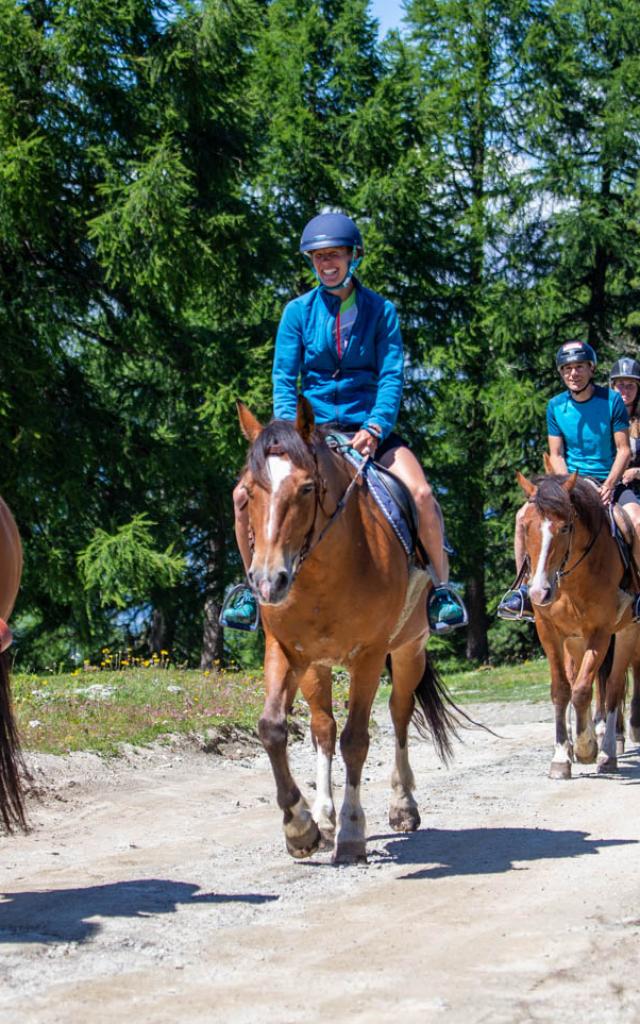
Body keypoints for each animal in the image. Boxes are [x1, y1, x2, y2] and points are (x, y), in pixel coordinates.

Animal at [237, 399, 456, 864]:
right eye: (248, 491)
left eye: (306, 488)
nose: (267, 582)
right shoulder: (285, 649)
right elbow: (273, 728)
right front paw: (300, 827)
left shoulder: (369, 656)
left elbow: (357, 740)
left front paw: (353, 832)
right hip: (315, 667)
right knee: (323, 728)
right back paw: (323, 817)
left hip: (409, 651)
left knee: (399, 713)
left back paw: (402, 806)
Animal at [516, 468, 634, 774]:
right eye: (526, 527)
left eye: (566, 528)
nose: (538, 592)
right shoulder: (550, 632)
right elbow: (562, 690)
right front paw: (561, 756)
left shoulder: (601, 632)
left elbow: (582, 690)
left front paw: (585, 747)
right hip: (576, 641)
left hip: (627, 632)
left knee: (614, 687)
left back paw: (608, 752)